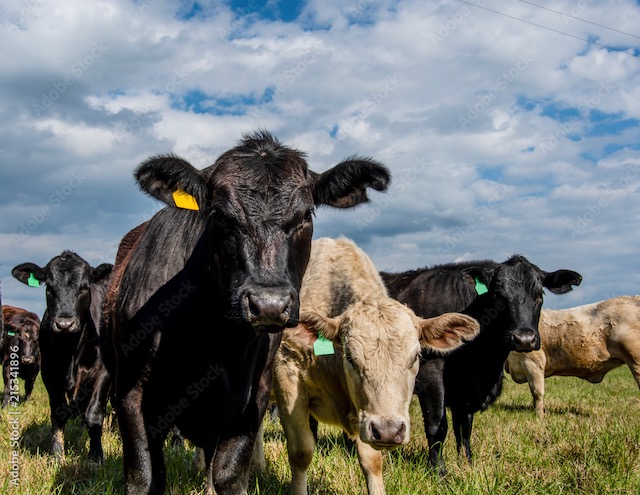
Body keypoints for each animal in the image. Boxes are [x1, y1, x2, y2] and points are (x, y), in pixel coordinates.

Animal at [12, 252, 113, 461]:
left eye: (84, 287)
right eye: (49, 288)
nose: (64, 324)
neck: (71, 350)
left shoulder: (104, 373)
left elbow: (94, 414)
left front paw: (95, 455)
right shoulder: (49, 373)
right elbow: (59, 413)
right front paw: (57, 454)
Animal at [102, 130, 392, 495]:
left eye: (306, 215)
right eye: (220, 214)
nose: (269, 304)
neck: (211, 338)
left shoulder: (251, 400)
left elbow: (229, 475)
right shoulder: (131, 396)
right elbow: (143, 478)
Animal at [273, 237, 480, 495]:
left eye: (415, 357)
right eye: (350, 357)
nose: (389, 430)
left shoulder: (369, 413)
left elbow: (372, 462)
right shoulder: (287, 380)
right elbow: (301, 452)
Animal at [381, 255, 582, 474]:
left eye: (539, 295)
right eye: (498, 296)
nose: (524, 339)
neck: (482, 362)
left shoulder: (466, 389)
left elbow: (464, 427)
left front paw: (467, 463)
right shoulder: (431, 372)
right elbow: (438, 425)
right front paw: (439, 471)